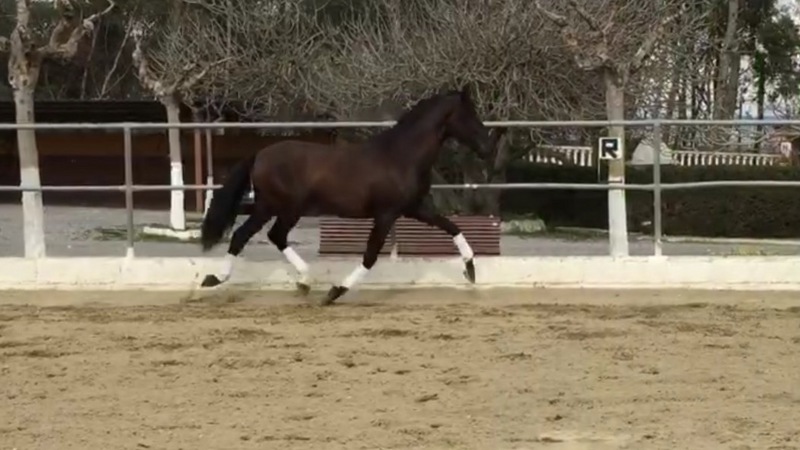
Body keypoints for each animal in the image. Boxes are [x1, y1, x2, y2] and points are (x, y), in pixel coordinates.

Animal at [199, 85, 493, 305]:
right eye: (469, 114)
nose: (486, 147)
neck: (401, 156)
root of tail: (259, 155)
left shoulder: (414, 208)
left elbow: (451, 226)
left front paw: (470, 270)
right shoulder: (385, 215)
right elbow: (370, 256)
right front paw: (335, 291)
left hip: (277, 208)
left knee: (264, 236)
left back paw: (300, 281)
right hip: (278, 207)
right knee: (252, 235)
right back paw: (218, 279)